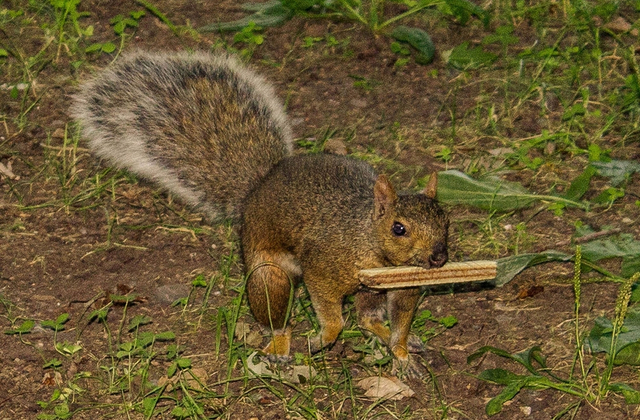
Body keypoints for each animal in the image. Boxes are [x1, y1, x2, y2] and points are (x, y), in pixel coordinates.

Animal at [71, 50, 450, 370]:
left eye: (446, 219)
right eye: (398, 228)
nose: (438, 258)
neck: (371, 244)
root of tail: (259, 186)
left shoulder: (403, 286)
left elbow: (399, 319)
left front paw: (402, 351)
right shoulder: (323, 266)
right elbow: (331, 312)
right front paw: (325, 336)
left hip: (366, 292)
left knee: (368, 319)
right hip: (269, 272)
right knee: (279, 316)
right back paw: (282, 345)